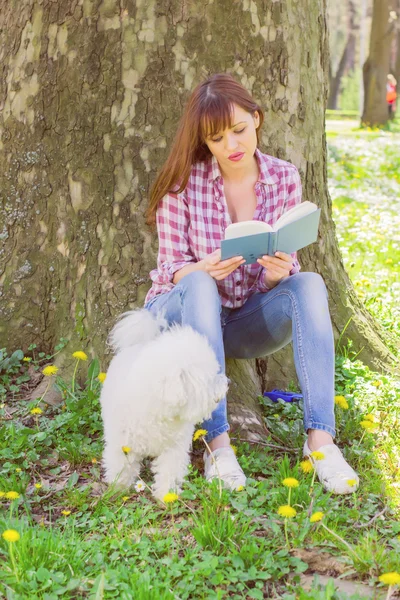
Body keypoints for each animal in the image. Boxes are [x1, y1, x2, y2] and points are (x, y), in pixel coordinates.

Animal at [99, 310, 228, 502]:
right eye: (210, 378)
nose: (226, 384)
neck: (159, 411)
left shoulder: (174, 448)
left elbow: (169, 470)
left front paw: (167, 495)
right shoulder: (122, 443)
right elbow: (120, 465)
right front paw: (118, 488)